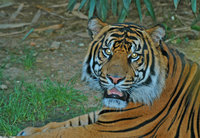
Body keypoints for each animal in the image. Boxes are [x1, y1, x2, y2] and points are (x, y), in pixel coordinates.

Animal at [16, 17, 199, 138]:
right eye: (108, 52)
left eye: (134, 56)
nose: (115, 79)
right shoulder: (106, 116)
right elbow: (71, 121)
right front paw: (29, 130)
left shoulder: (105, 130)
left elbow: (61, 132)